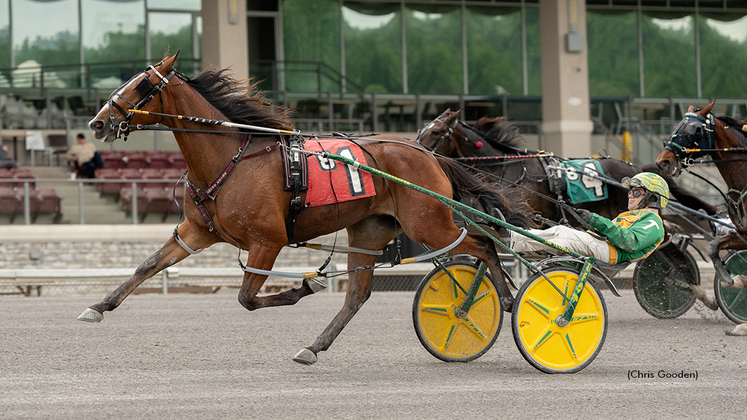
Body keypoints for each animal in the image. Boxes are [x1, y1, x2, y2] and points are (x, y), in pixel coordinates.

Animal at [79, 53, 536, 364]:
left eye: (141, 85)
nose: (97, 122)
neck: (231, 155)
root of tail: (426, 153)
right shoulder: (197, 231)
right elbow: (148, 266)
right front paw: (98, 307)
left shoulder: (268, 240)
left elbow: (247, 298)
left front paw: (304, 287)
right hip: (370, 231)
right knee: (357, 295)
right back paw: (313, 347)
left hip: (430, 224)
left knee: (482, 244)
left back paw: (503, 299)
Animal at [656, 100, 747, 334]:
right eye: (676, 126)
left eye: (694, 130)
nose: (663, 162)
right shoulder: (743, 234)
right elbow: (714, 247)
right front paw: (733, 280)